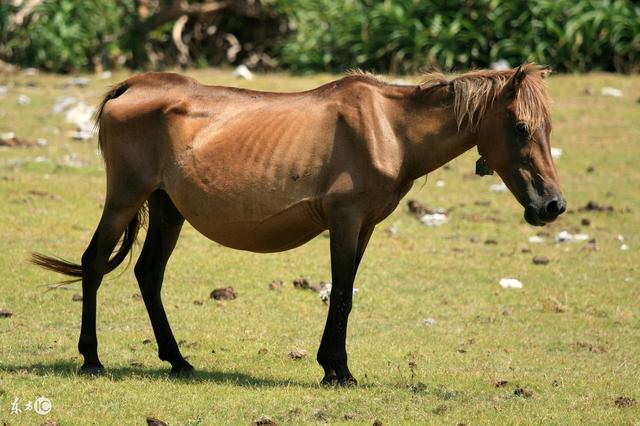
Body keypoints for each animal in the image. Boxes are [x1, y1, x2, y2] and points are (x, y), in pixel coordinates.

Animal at [33, 63, 564, 386]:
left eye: (547, 128)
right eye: (521, 128)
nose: (552, 206)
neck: (390, 128)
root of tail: (132, 87)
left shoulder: (365, 227)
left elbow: (345, 292)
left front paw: (333, 365)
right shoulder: (345, 221)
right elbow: (342, 294)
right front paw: (338, 370)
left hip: (167, 209)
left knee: (148, 275)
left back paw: (178, 360)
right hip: (125, 198)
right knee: (94, 264)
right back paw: (92, 358)